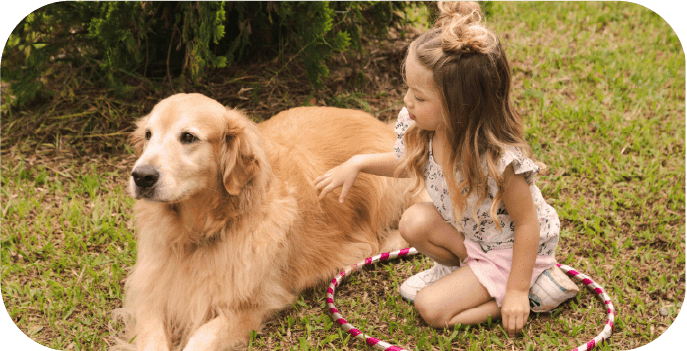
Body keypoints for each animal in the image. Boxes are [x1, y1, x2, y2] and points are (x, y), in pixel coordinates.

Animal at [111, 93, 420, 351]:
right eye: (148, 135)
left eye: (188, 137)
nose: (141, 177)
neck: (202, 231)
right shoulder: (151, 292)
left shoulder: (253, 304)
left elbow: (202, 336)